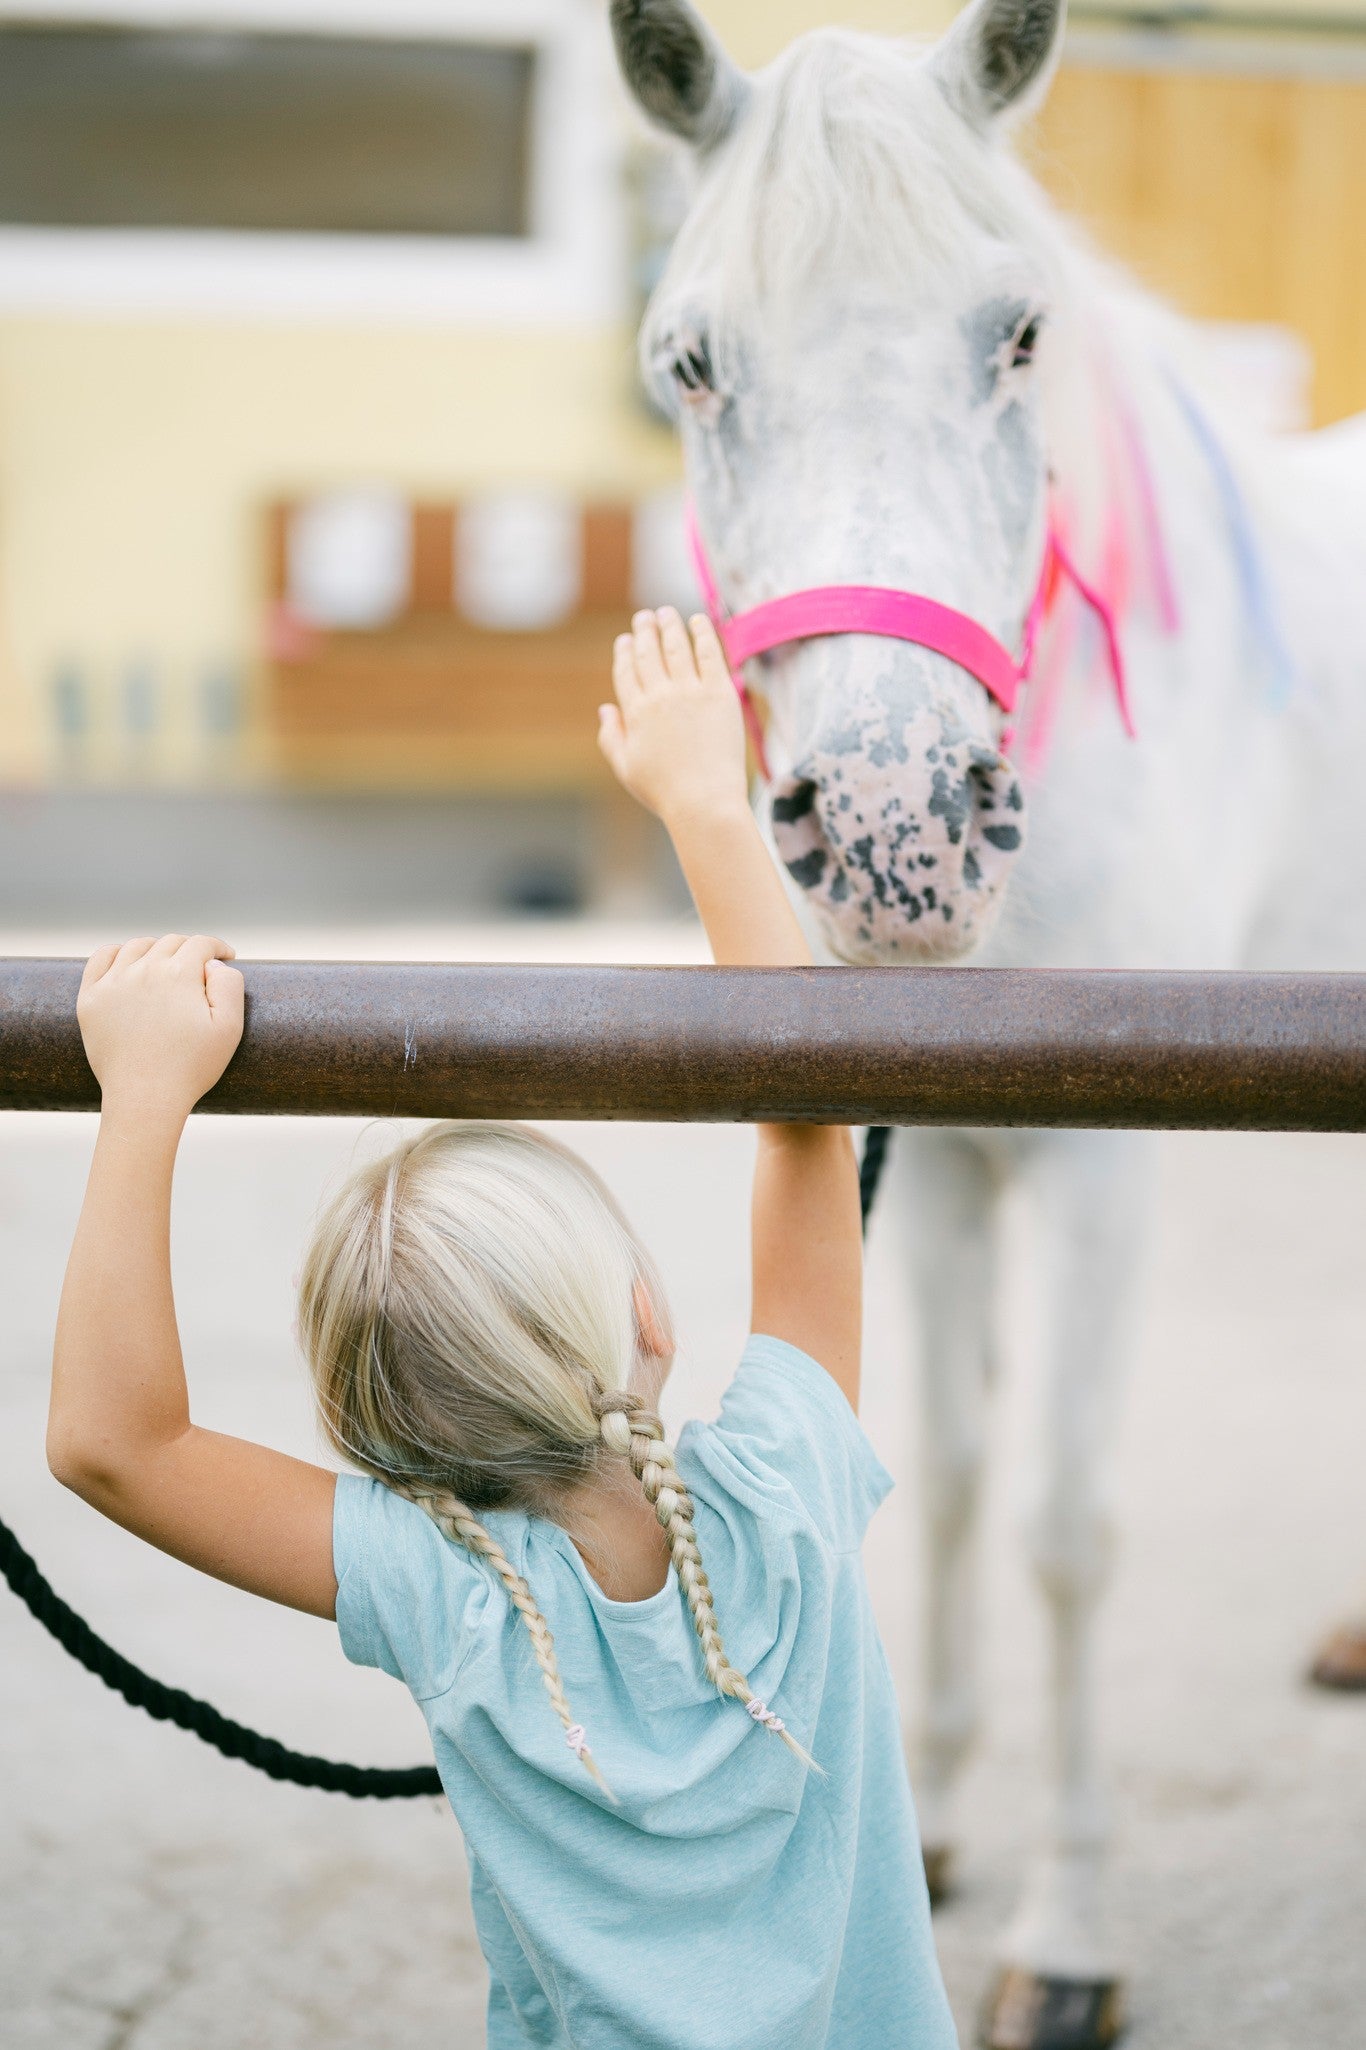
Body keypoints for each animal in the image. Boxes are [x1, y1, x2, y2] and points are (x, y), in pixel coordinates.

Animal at [609, 3, 1366, 2045]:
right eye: (687, 362)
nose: (894, 828)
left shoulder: (1101, 1161)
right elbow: (941, 1486)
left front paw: (1070, 1929)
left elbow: (1062, 1531)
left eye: (1019, 334)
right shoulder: (939, 1156)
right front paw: (935, 1830)